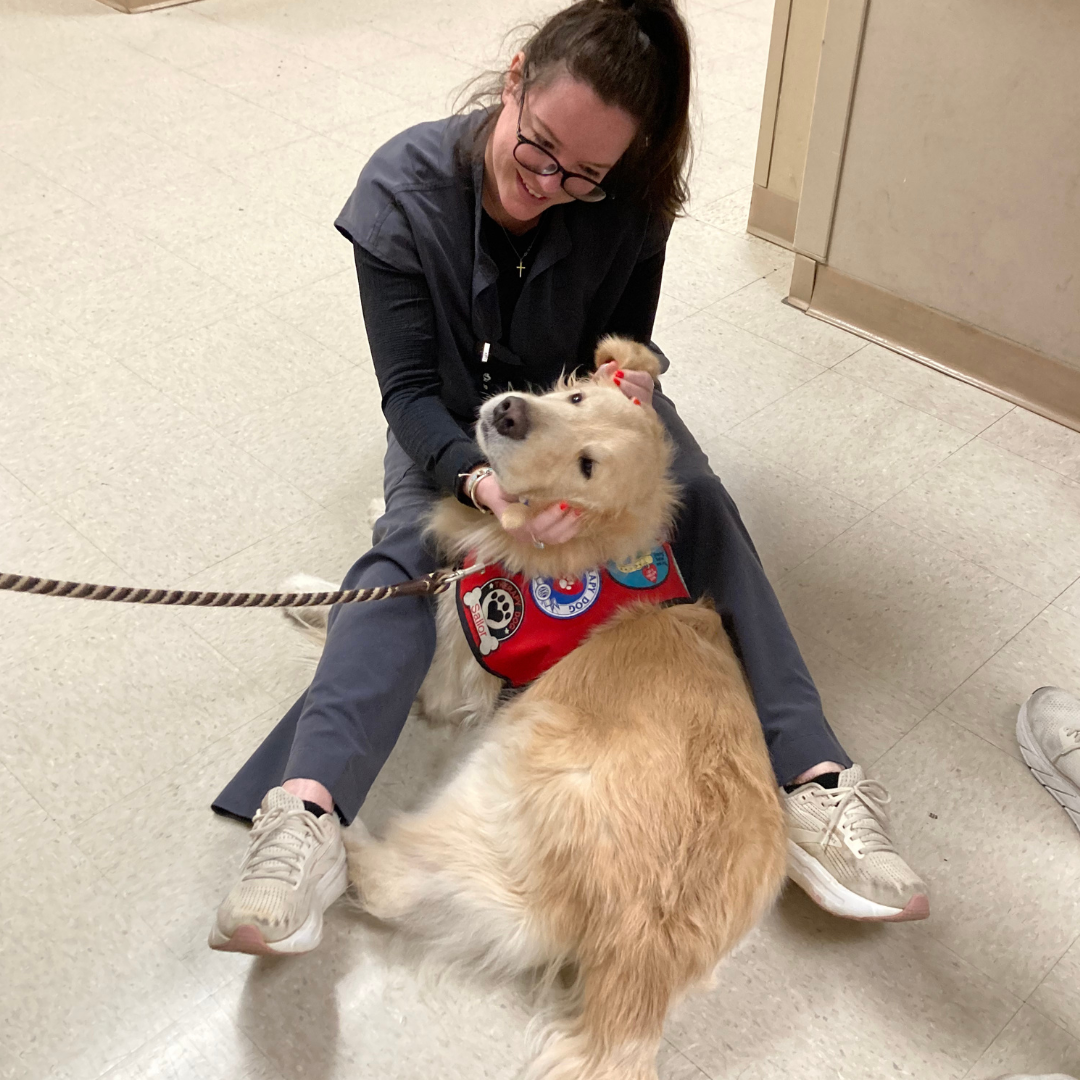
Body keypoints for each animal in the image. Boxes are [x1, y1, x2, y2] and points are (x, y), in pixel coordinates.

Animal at [295, 341, 786, 1080]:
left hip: (499, 777)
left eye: (588, 466)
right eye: (578, 398)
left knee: (399, 885)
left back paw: (341, 839)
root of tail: (646, 952)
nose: (508, 412)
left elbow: (365, 604)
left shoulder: (458, 659)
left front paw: (303, 591)